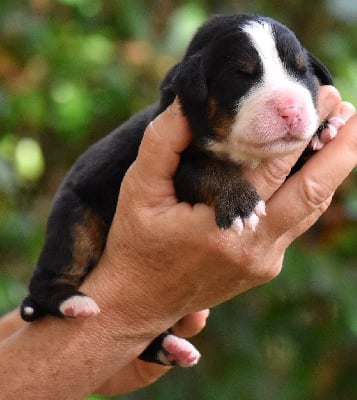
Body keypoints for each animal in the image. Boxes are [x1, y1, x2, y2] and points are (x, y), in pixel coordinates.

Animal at [21, 14, 340, 368]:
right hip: (74, 218)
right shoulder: (176, 164)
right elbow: (206, 169)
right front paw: (238, 201)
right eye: (242, 76)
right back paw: (73, 302)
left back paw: (170, 347)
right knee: (49, 276)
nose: (291, 109)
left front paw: (322, 133)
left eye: (302, 71)